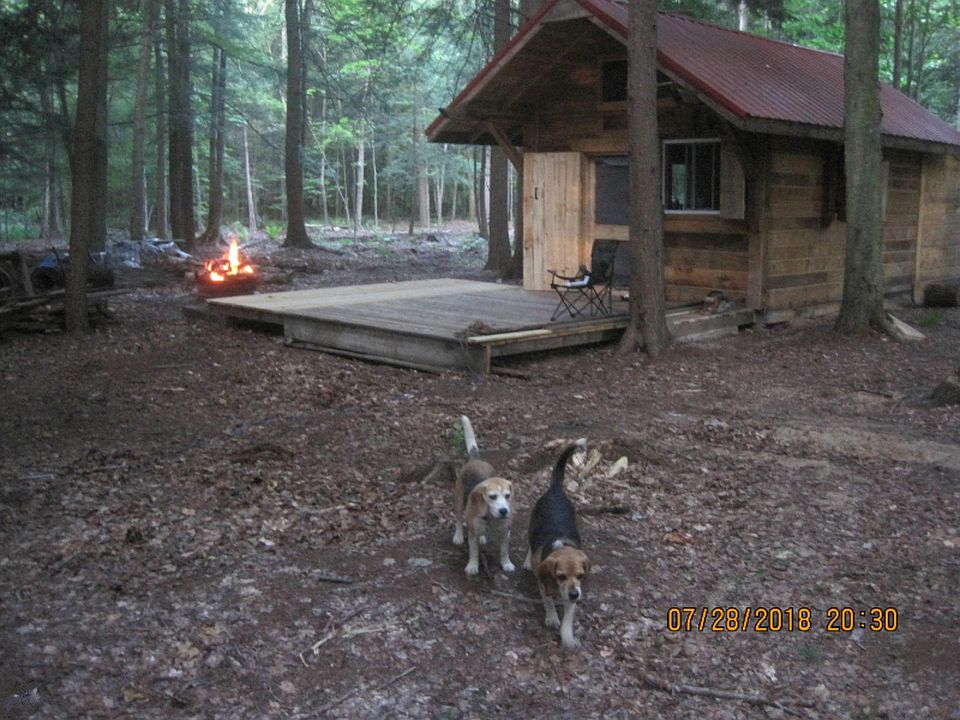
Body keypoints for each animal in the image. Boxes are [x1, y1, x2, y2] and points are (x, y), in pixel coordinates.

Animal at [452, 416, 515, 576]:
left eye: (507, 496)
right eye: (492, 497)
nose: (504, 511)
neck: (491, 519)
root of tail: (476, 460)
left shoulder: (506, 533)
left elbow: (504, 552)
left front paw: (507, 564)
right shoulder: (472, 535)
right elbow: (474, 552)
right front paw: (473, 566)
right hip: (459, 500)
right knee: (458, 519)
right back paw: (458, 536)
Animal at [525, 439, 591, 649]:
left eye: (580, 575)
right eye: (560, 576)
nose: (575, 595)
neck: (560, 545)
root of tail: (555, 490)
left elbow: (568, 618)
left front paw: (568, 637)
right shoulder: (543, 582)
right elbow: (548, 601)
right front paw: (552, 617)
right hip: (532, 525)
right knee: (530, 544)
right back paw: (527, 561)